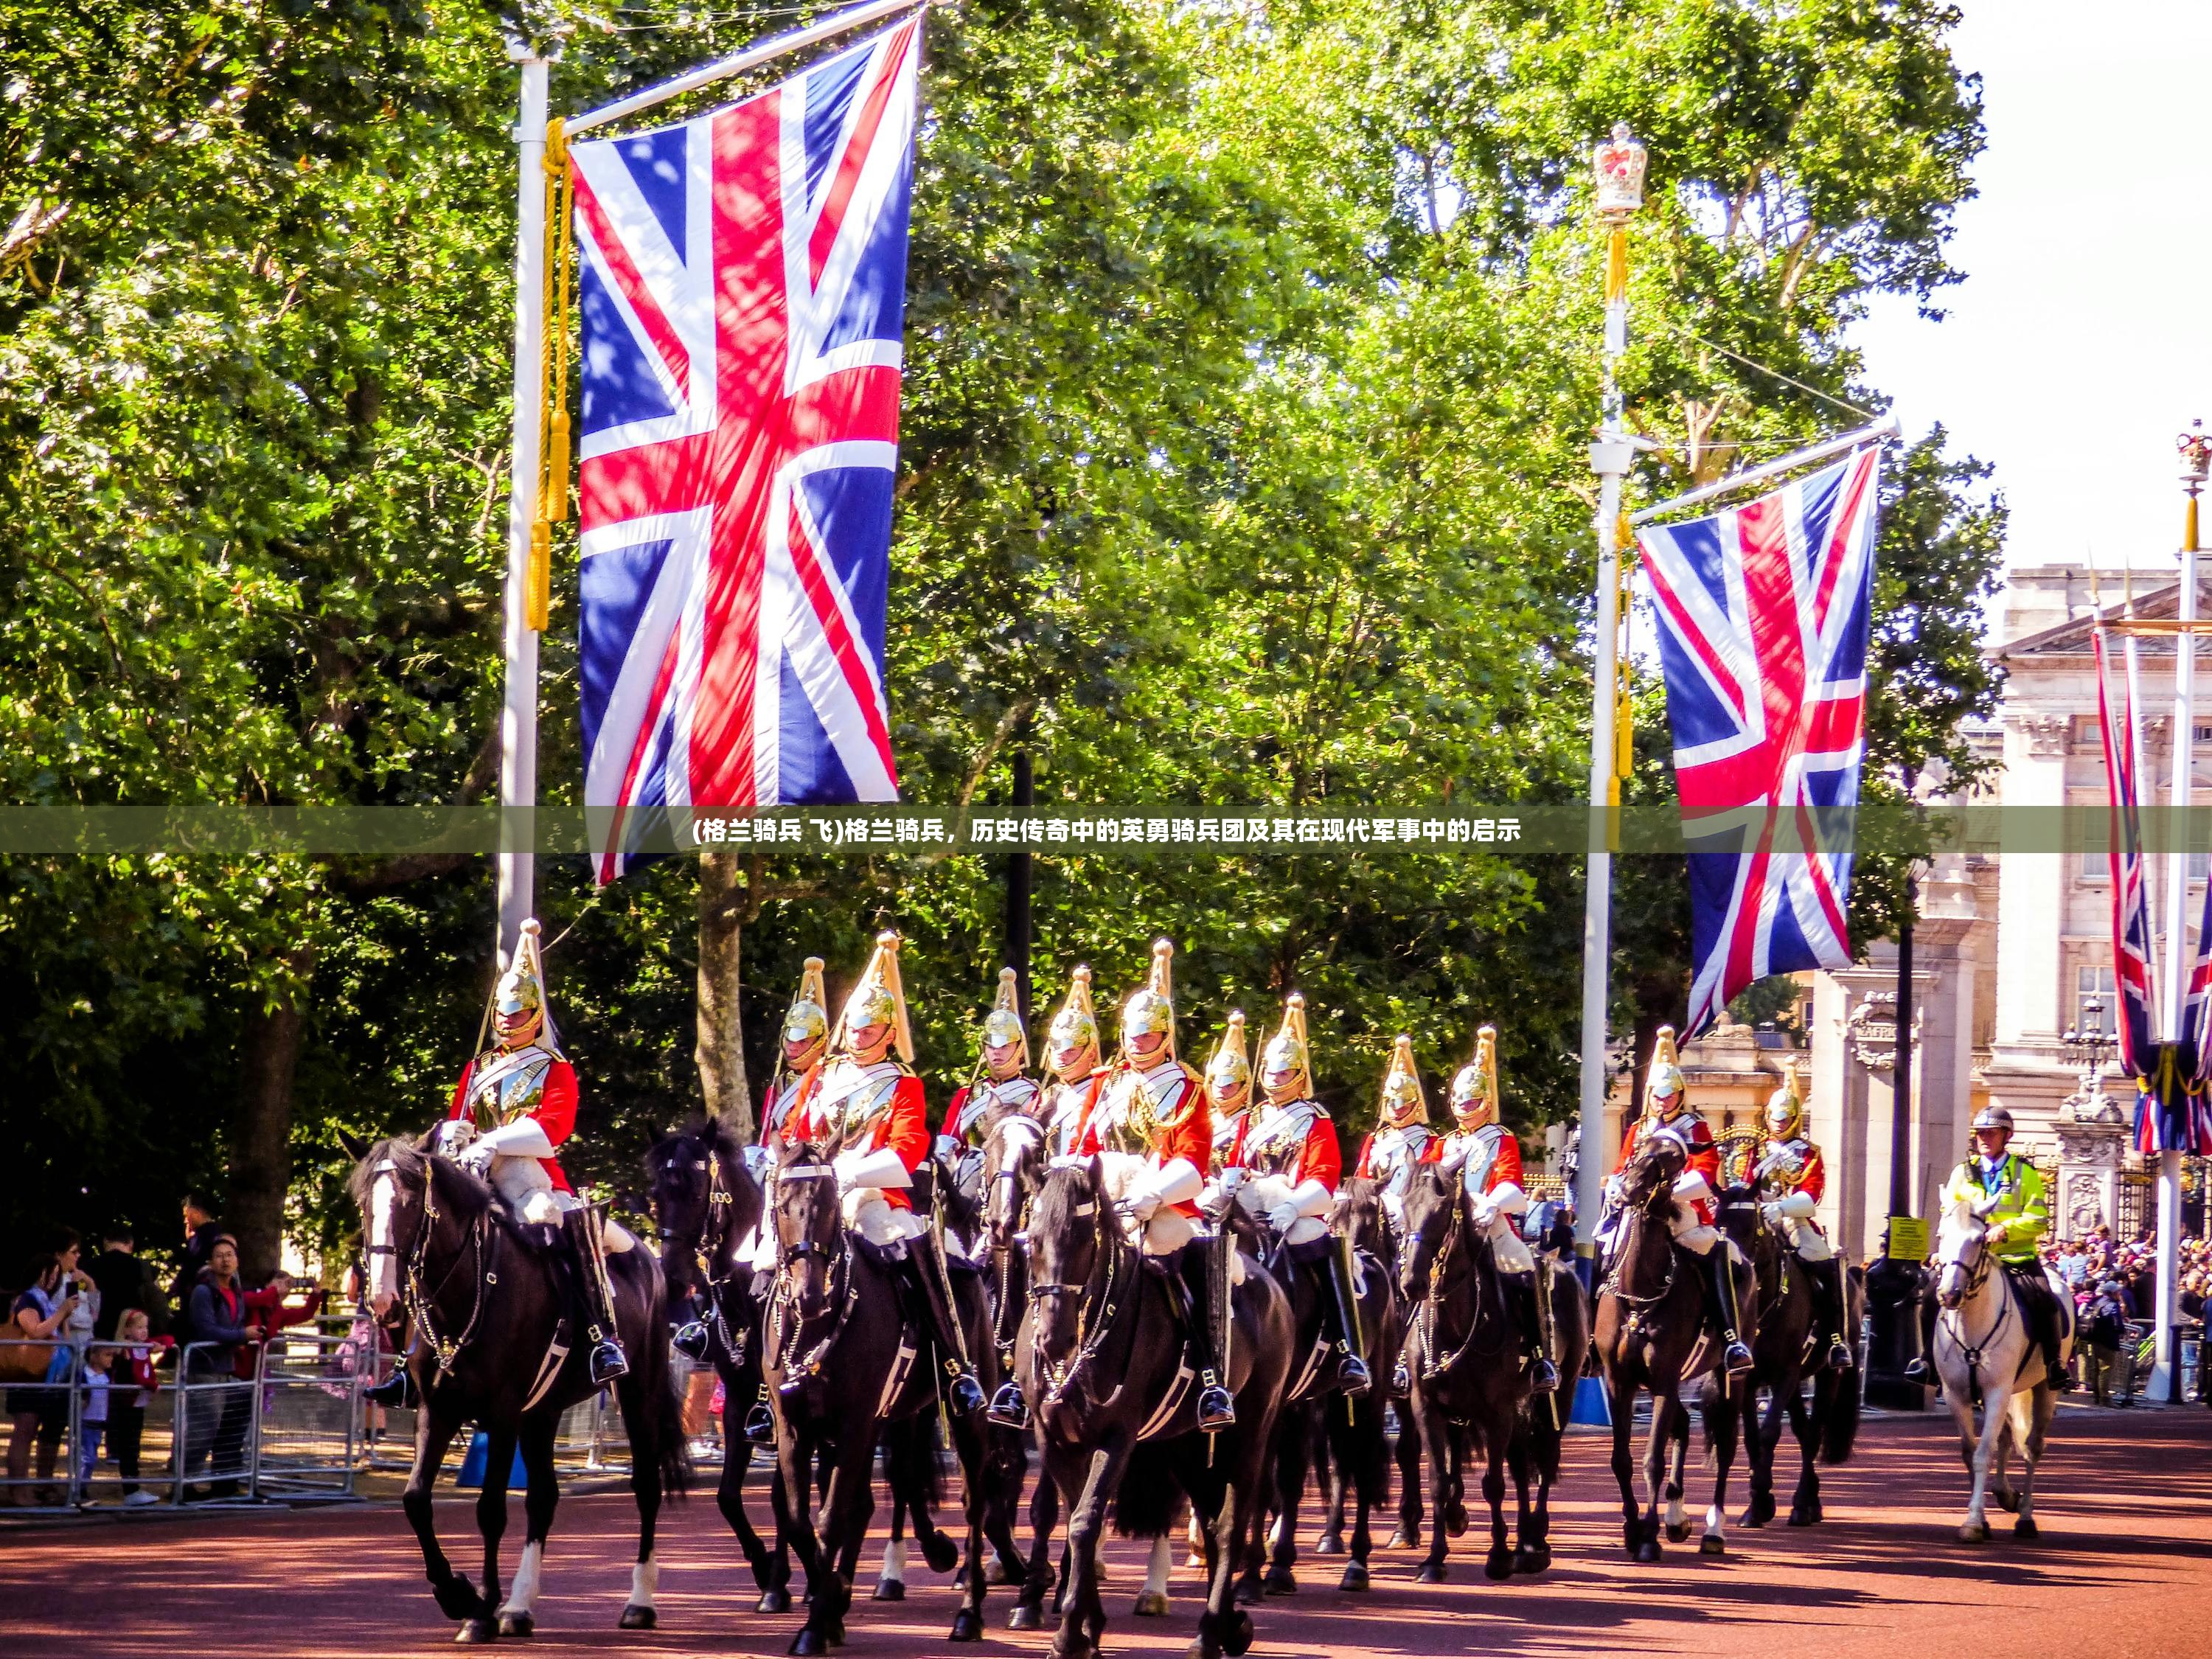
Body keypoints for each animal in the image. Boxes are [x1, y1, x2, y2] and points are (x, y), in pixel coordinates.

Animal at [345, 1141, 686, 1646]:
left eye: (409, 1205)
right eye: (364, 1205)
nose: (384, 1300)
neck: (466, 1293)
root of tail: (645, 1254)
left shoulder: (503, 1414)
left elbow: (490, 1510)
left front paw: (480, 1607)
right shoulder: (438, 1410)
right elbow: (416, 1499)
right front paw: (456, 1593)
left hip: (637, 1391)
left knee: (645, 1485)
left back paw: (639, 1602)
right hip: (542, 1413)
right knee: (543, 1498)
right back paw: (520, 1608)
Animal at [1013, 1159, 1292, 1659]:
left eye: (1082, 1237)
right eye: (1034, 1238)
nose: (1053, 1340)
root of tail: (1271, 1284)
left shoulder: (1117, 1437)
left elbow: (1085, 1522)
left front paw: (1070, 1633)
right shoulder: (1054, 1440)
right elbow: (1077, 1521)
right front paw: (1088, 1628)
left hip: (1251, 1431)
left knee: (1229, 1524)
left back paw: (1209, 1633)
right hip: (1186, 1445)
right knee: (1210, 1518)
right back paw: (1229, 1626)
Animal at [1938, 1194, 2070, 1548]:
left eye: (1979, 1240)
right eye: (1941, 1235)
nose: (1949, 1295)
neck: (1971, 1322)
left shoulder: (1998, 1391)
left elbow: (1984, 1454)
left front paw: (1972, 1523)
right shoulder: (1957, 1395)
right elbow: (1971, 1453)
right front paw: (1982, 1519)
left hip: (2044, 1389)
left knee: (2033, 1447)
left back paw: (2025, 1516)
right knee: (2007, 1438)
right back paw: (2006, 1495)